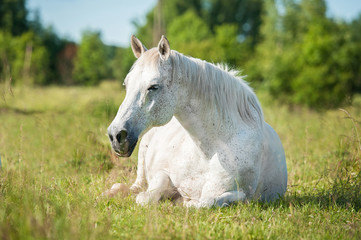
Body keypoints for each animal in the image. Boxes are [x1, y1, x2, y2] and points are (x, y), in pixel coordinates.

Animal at [105, 35, 286, 208]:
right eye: (126, 84)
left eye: (154, 87)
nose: (116, 135)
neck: (211, 151)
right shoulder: (162, 173)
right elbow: (147, 197)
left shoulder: (241, 195)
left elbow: (208, 202)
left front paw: (182, 201)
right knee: (132, 187)